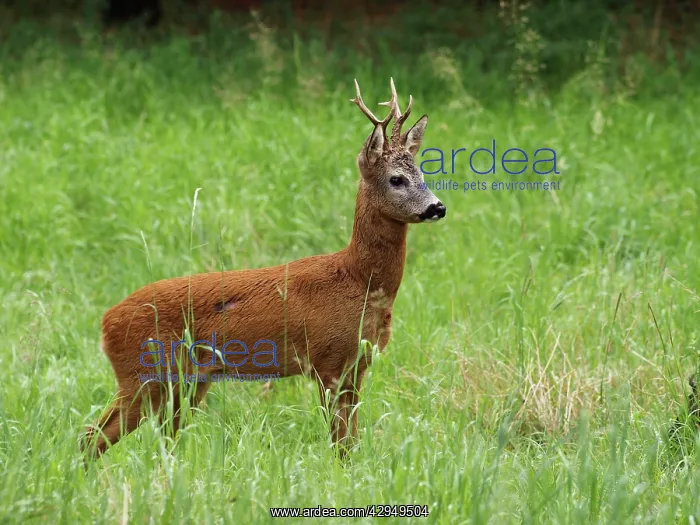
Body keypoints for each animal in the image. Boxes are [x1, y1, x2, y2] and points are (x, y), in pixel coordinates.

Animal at [81, 78, 446, 459]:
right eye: (396, 179)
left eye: (422, 172)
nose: (437, 207)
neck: (358, 280)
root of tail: (105, 322)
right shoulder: (327, 360)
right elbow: (340, 443)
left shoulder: (357, 365)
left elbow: (351, 442)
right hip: (144, 374)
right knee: (92, 436)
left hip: (186, 382)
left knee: (150, 437)